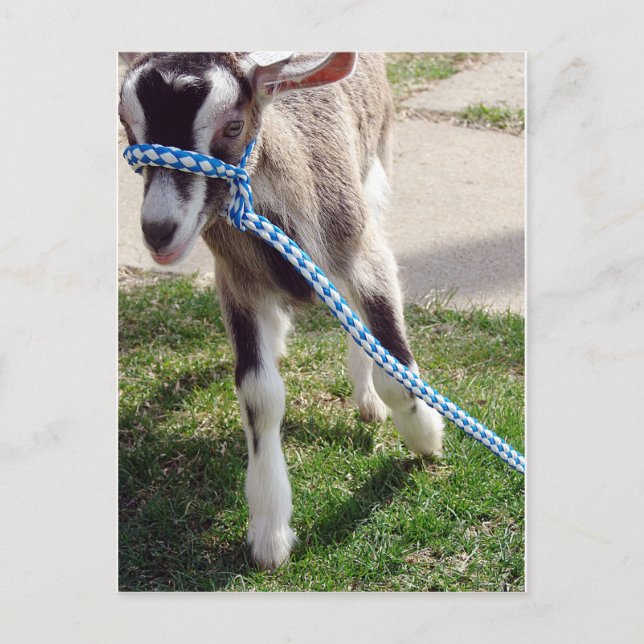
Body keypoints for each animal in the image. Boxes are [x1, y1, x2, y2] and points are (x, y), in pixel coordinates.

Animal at [119, 52, 444, 570]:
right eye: (127, 124)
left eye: (233, 126)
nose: (158, 230)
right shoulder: (236, 282)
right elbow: (259, 394)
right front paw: (269, 532)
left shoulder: (360, 247)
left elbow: (392, 364)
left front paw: (424, 435)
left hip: (375, 168)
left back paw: (367, 398)